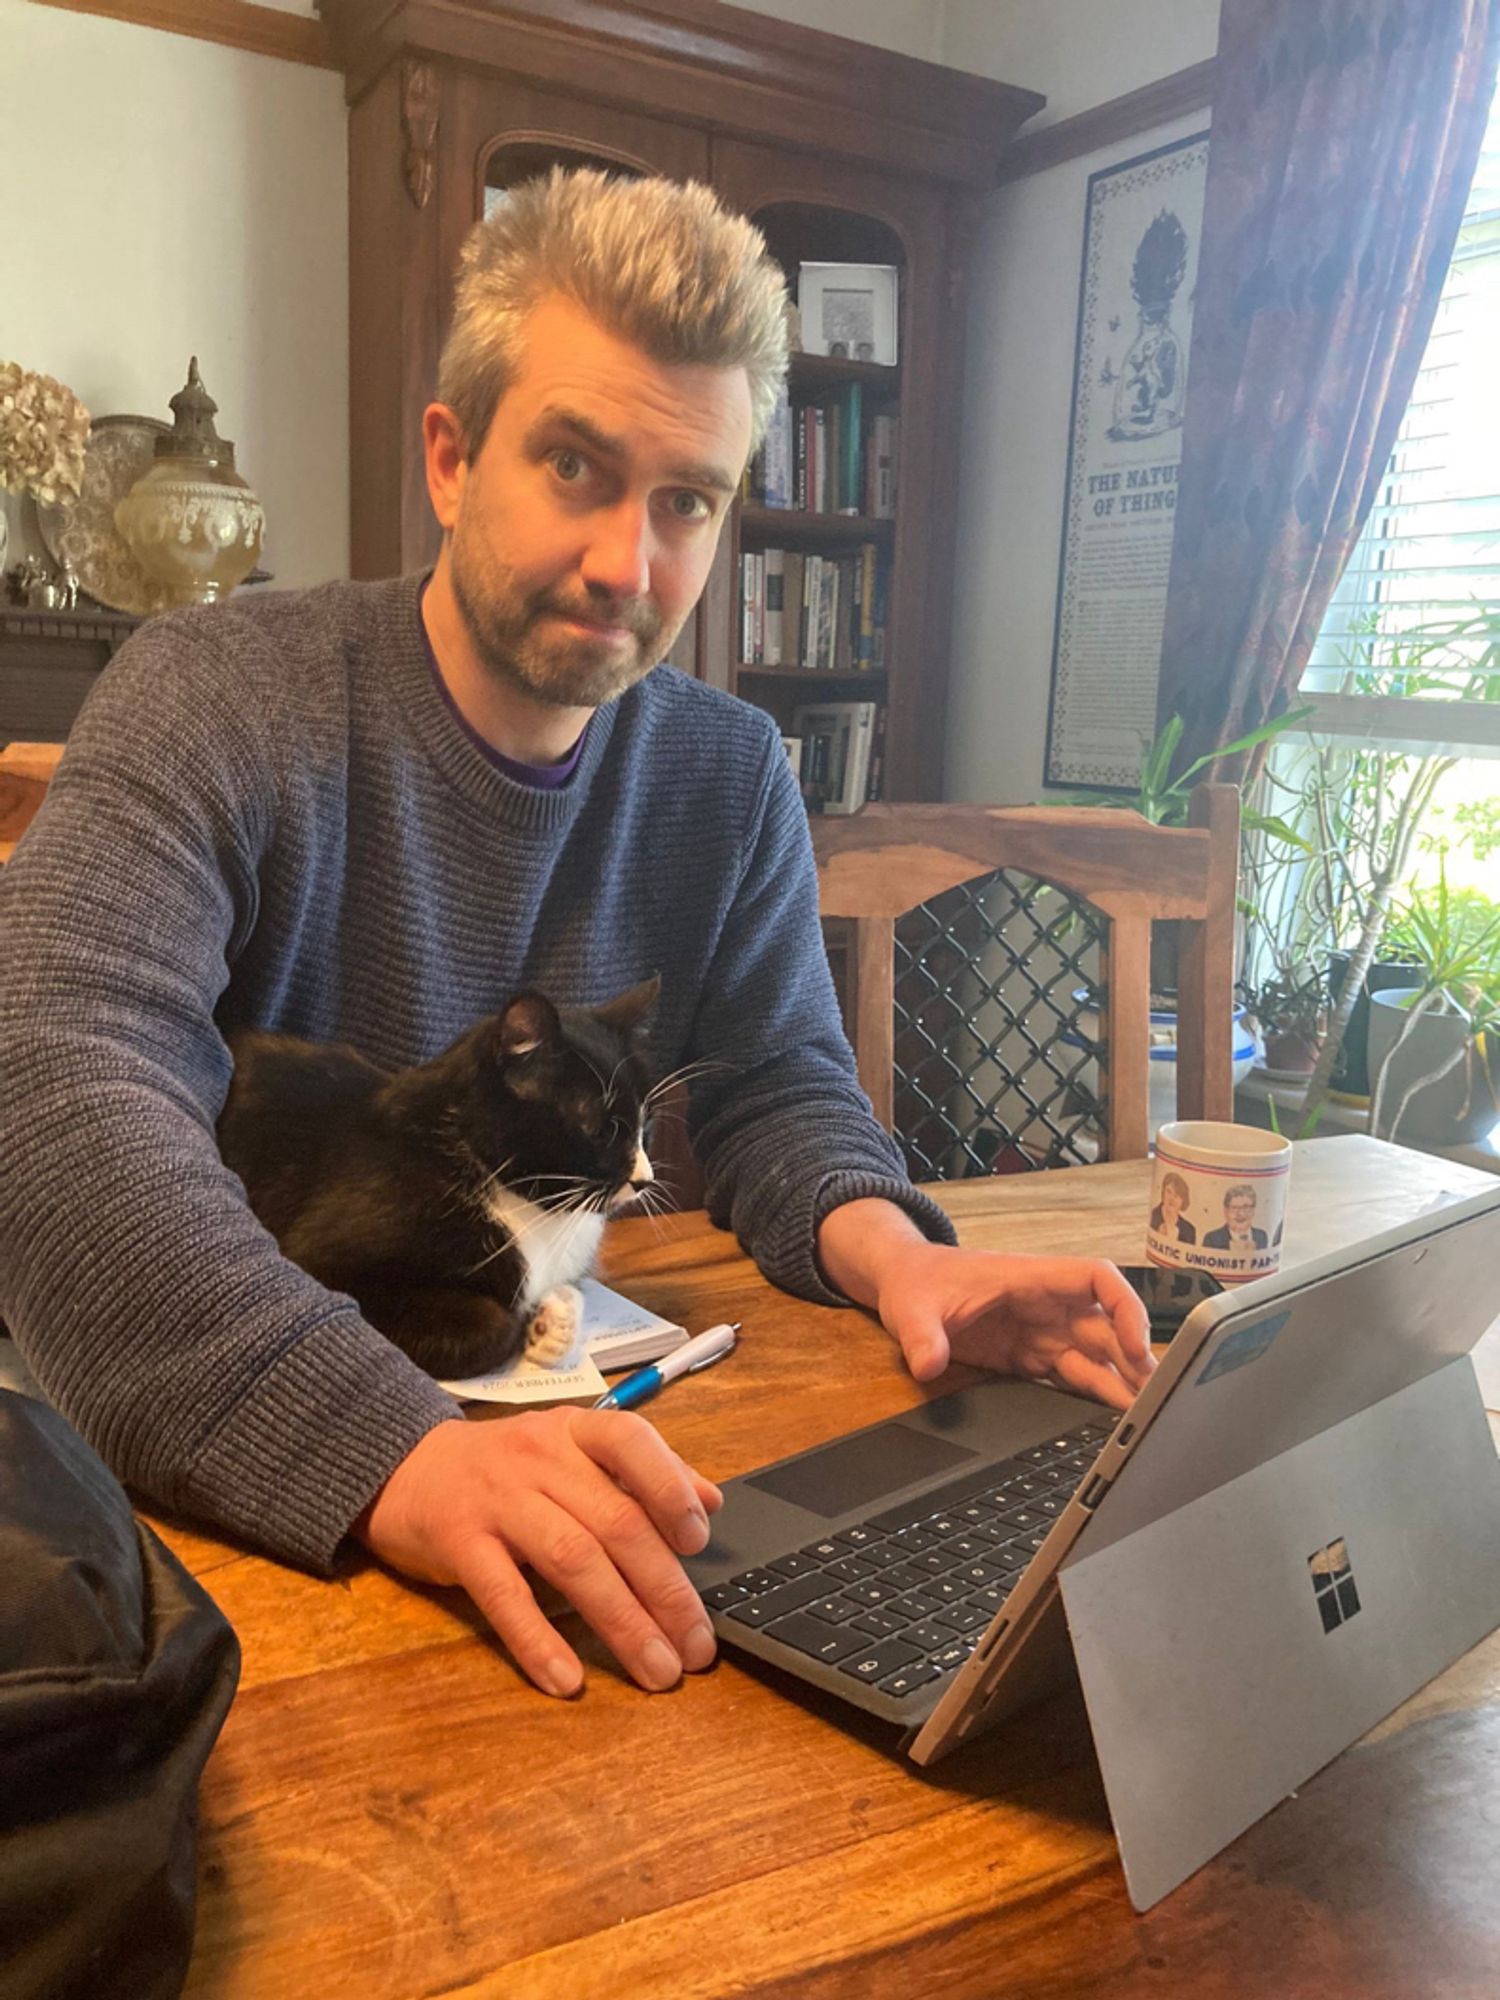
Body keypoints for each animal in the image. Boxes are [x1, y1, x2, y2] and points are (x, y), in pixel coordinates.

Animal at [214, 976, 660, 1384]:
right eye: (601, 1130)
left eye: (645, 1124)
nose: (644, 1179)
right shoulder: (322, 1258)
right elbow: (493, 1325)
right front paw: (525, 1325)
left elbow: (571, 1291)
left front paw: (551, 1325)